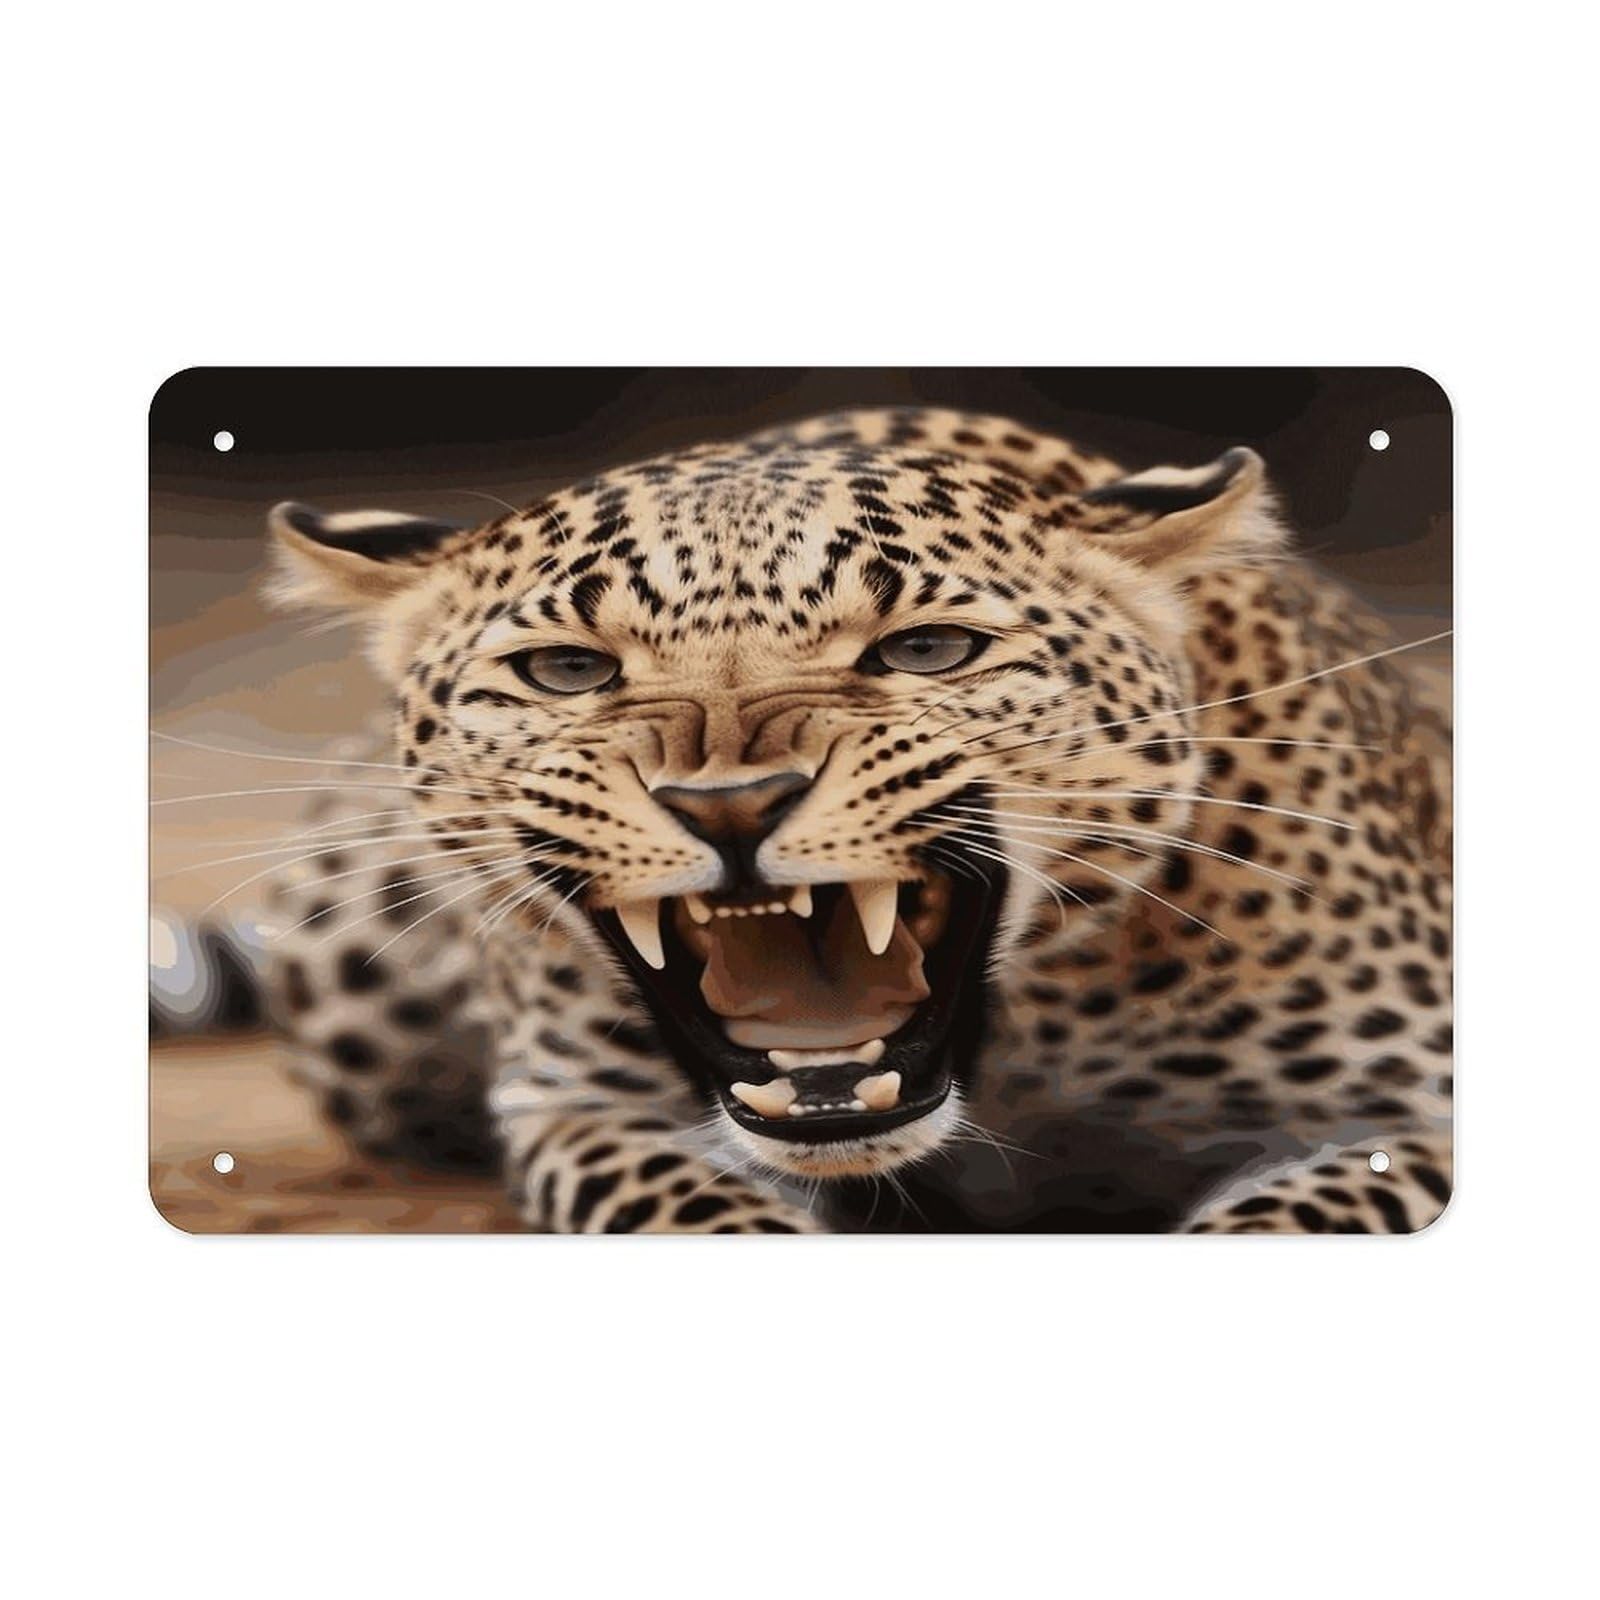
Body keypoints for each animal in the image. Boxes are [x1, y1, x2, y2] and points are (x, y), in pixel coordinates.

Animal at [255, 406, 1452, 1234]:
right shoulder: (580, 1107)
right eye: (565, 670)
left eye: (926, 650)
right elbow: (694, 1215)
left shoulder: (1411, 1108)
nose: (729, 804)